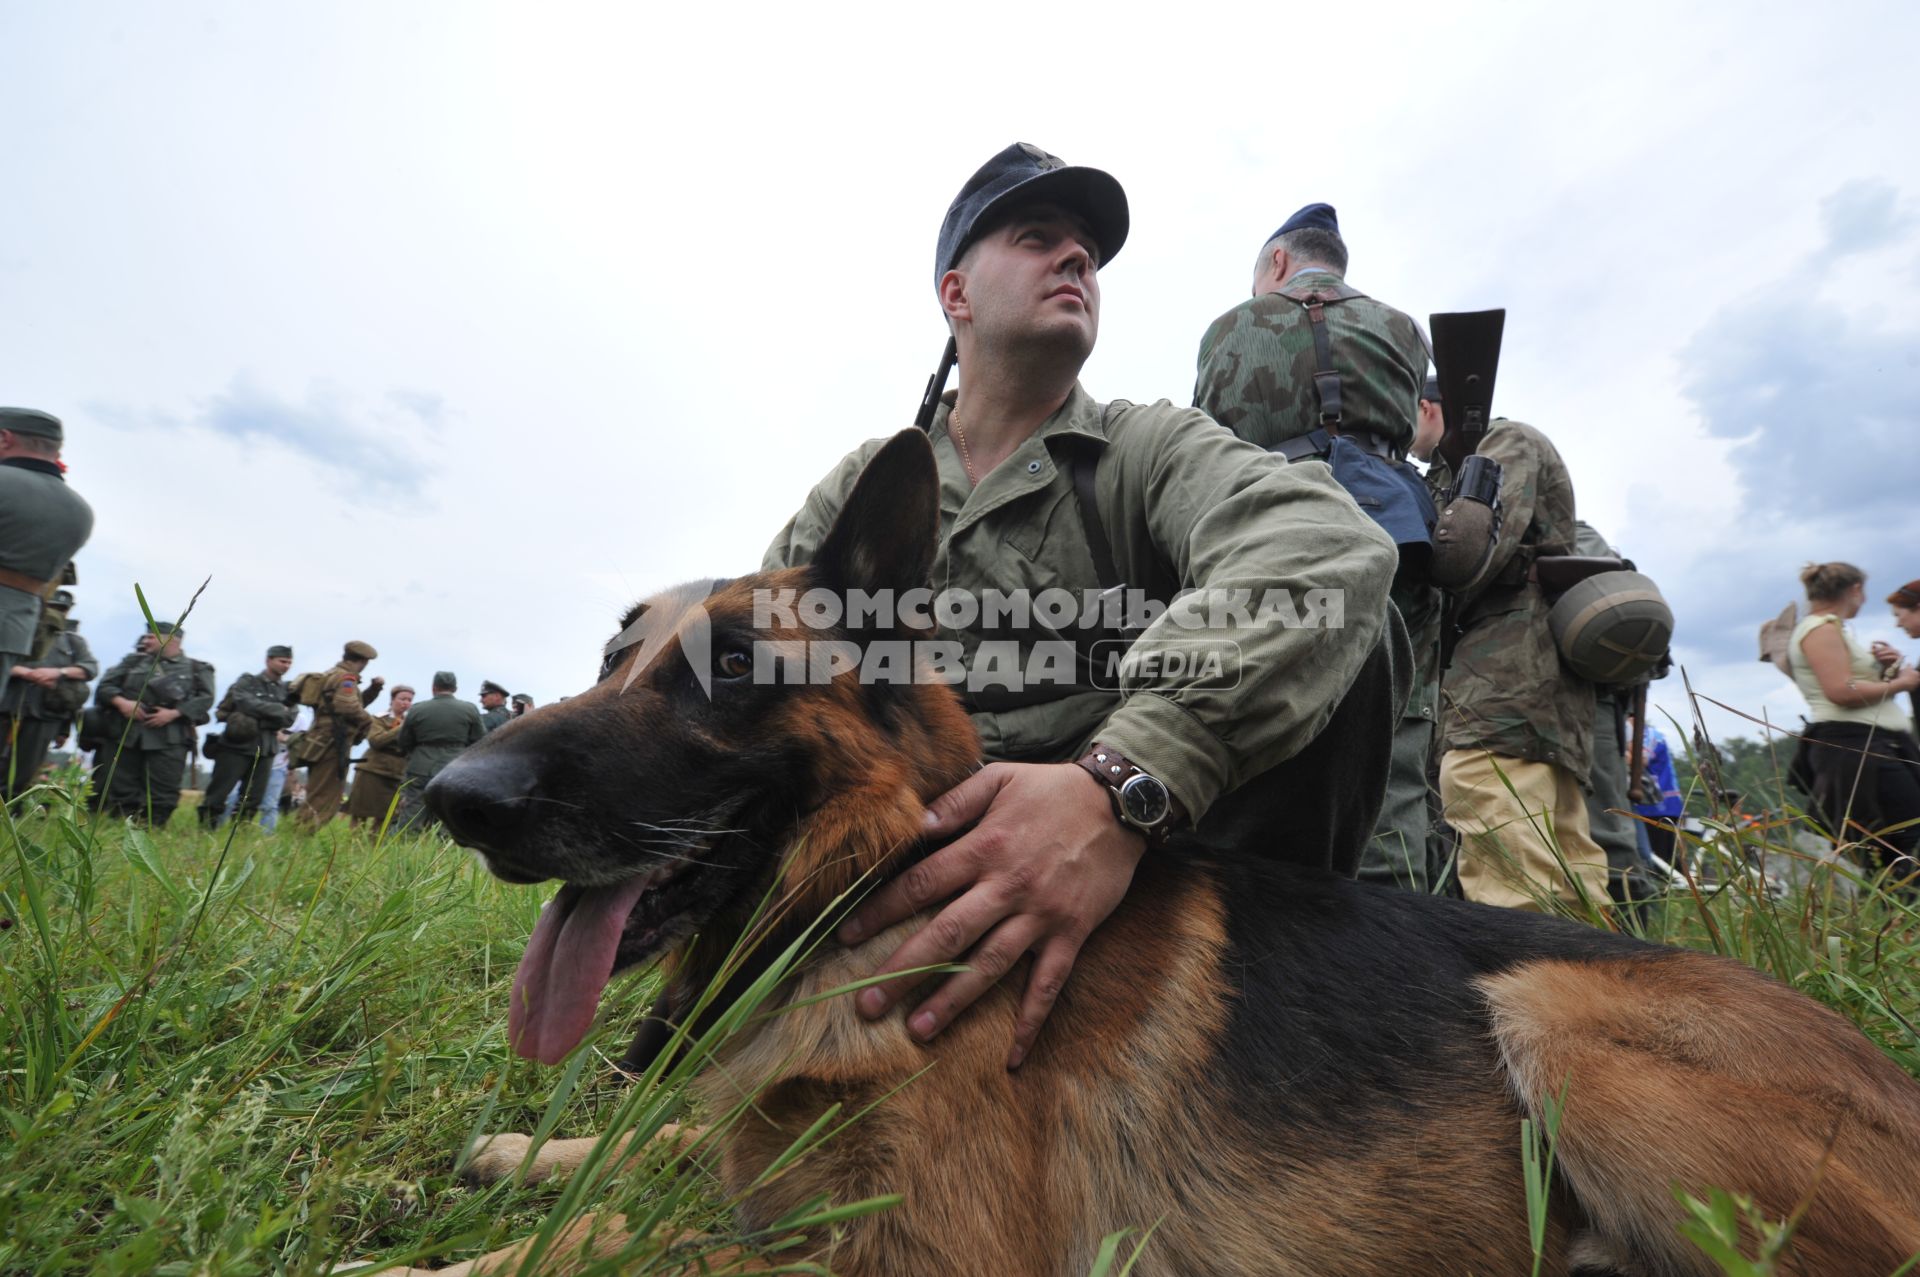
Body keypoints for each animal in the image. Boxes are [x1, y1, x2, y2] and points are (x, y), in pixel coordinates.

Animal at [412, 430, 1912, 1275]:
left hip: (1561, 1023)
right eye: (613, 655)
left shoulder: (926, 1258)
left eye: (727, 668)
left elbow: (636, 1238)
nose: (454, 795)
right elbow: (665, 1156)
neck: (870, 897)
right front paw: (535, 1149)